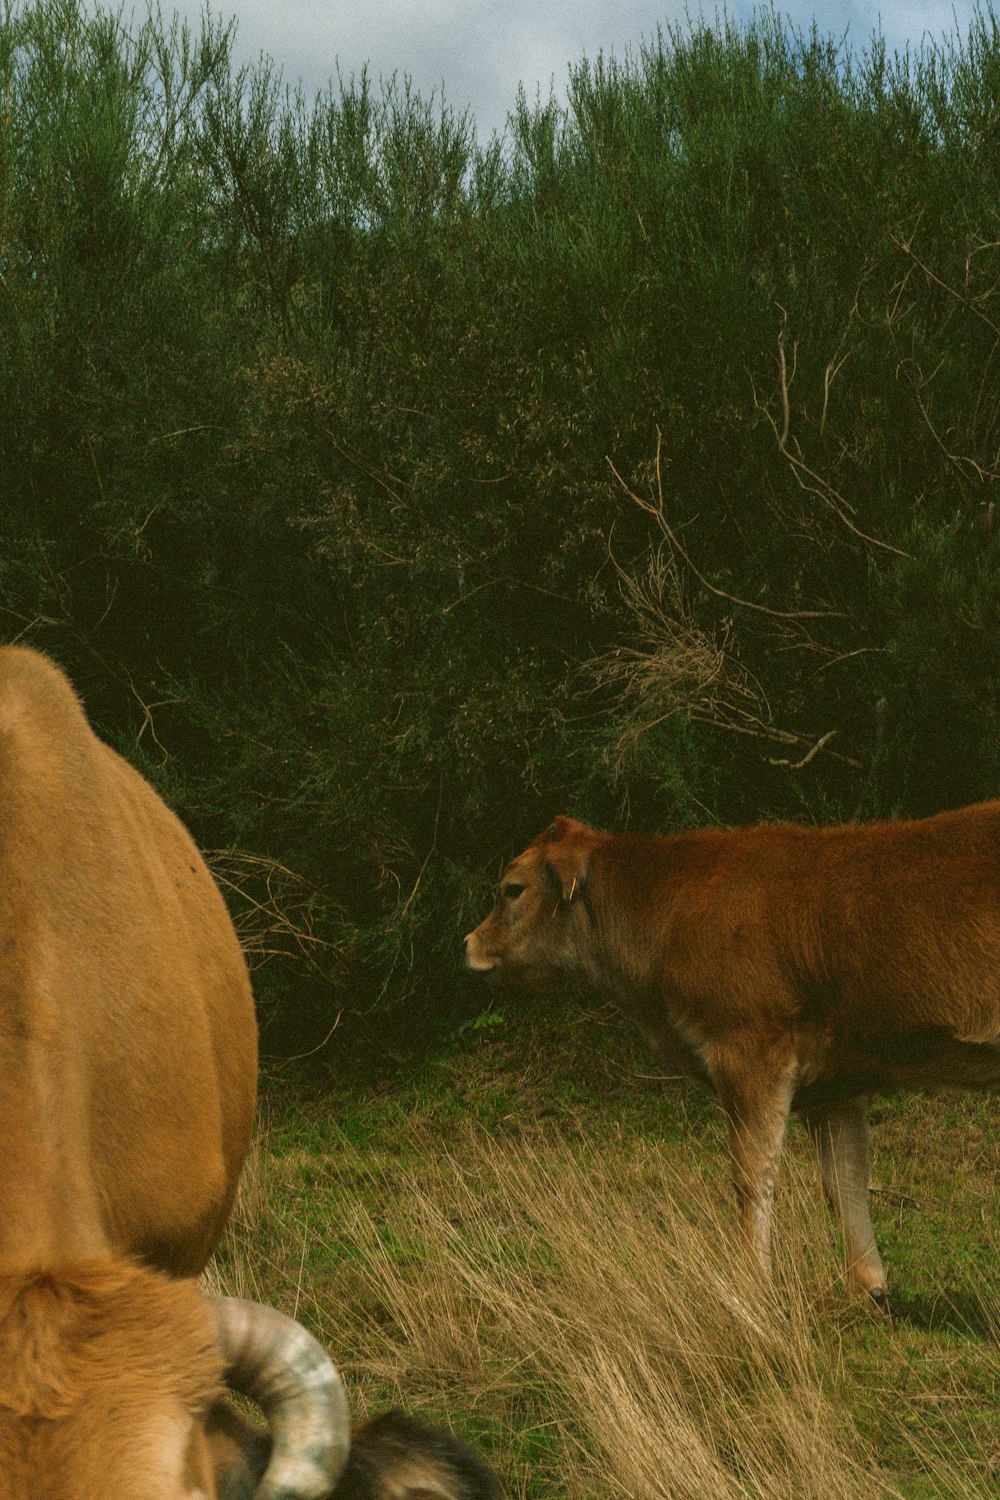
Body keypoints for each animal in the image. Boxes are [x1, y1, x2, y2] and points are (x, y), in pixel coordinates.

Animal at [464, 816, 1000, 1296]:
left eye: (512, 889)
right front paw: (867, 1289)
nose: (468, 943)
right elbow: (845, 1178)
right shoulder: (836, 1084)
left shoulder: (748, 1050)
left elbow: (752, 1174)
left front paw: (751, 1284)